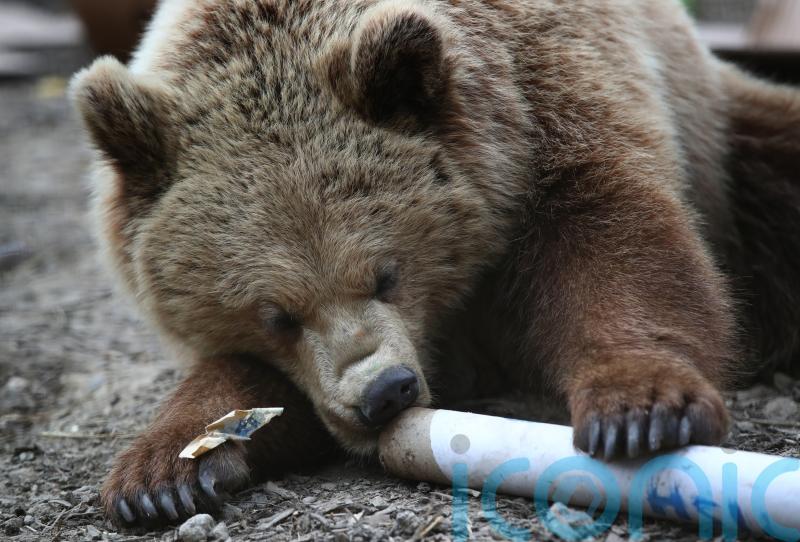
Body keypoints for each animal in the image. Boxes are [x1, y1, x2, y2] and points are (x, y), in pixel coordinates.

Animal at [69, 0, 800, 526]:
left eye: (386, 274)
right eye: (276, 315)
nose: (384, 392)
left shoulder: (550, 111)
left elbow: (617, 244)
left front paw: (640, 413)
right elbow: (248, 383)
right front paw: (166, 472)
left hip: (729, 147)